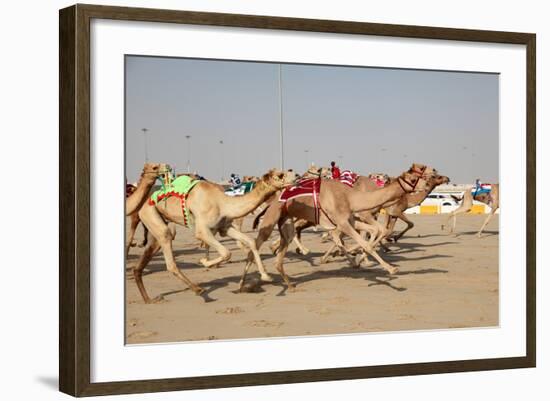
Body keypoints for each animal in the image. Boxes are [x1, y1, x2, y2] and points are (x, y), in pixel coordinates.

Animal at [133, 169, 298, 304]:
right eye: (280, 175)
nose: (296, 175)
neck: (223, 203)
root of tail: (144, 203)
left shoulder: (224, 227)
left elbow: (250, 241)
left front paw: (265, 275)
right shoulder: (202, 230)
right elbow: (226, 252)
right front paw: (205, 262)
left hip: (156, 225)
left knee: (147, 256)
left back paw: (149, 299)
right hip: (150, 214)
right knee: (169, 255)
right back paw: (199, 290)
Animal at [242, 164, 436, 292]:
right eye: (413, 178)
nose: (428, 183)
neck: (351, 197)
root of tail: (273, 199)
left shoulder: (351, 219)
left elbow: (374, 232)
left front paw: (357, 259)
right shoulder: (343, 222)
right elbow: (365, 242)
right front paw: (390, 269)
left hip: (286, 223)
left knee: (281, 252)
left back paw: (289, 284)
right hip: (272, 219)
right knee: (255, 246)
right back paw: (246, 283)